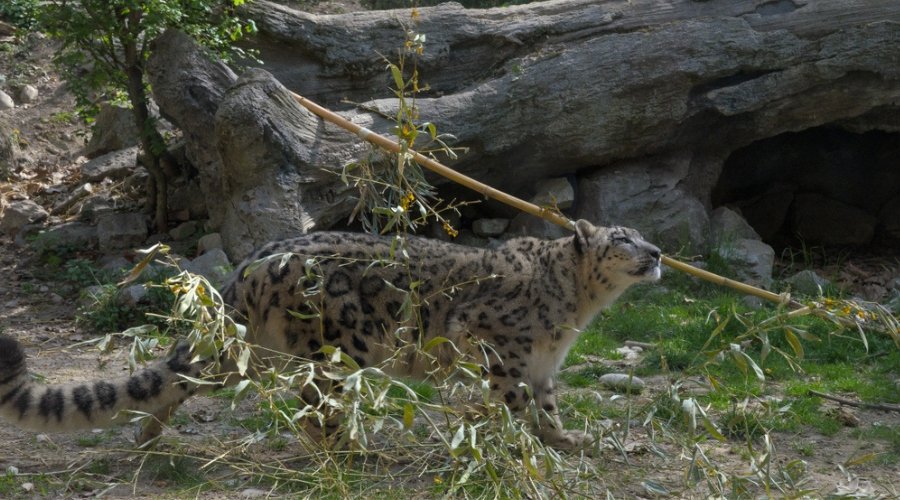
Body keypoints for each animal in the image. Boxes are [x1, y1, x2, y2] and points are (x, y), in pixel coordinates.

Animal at [0, 219, 661, 449]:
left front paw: (568, 441)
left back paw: (150, 436)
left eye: (638, 235)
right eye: (621, 238)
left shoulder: (544, 362)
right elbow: (514, 404)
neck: (578, 312)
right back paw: (350, 449)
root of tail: (251, 263)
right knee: (315, 409)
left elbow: (547, 406)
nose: (656, 251)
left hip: (245, 351)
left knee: (182, 380)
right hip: (336, 350)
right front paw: (528, 446)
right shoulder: (502, 351)